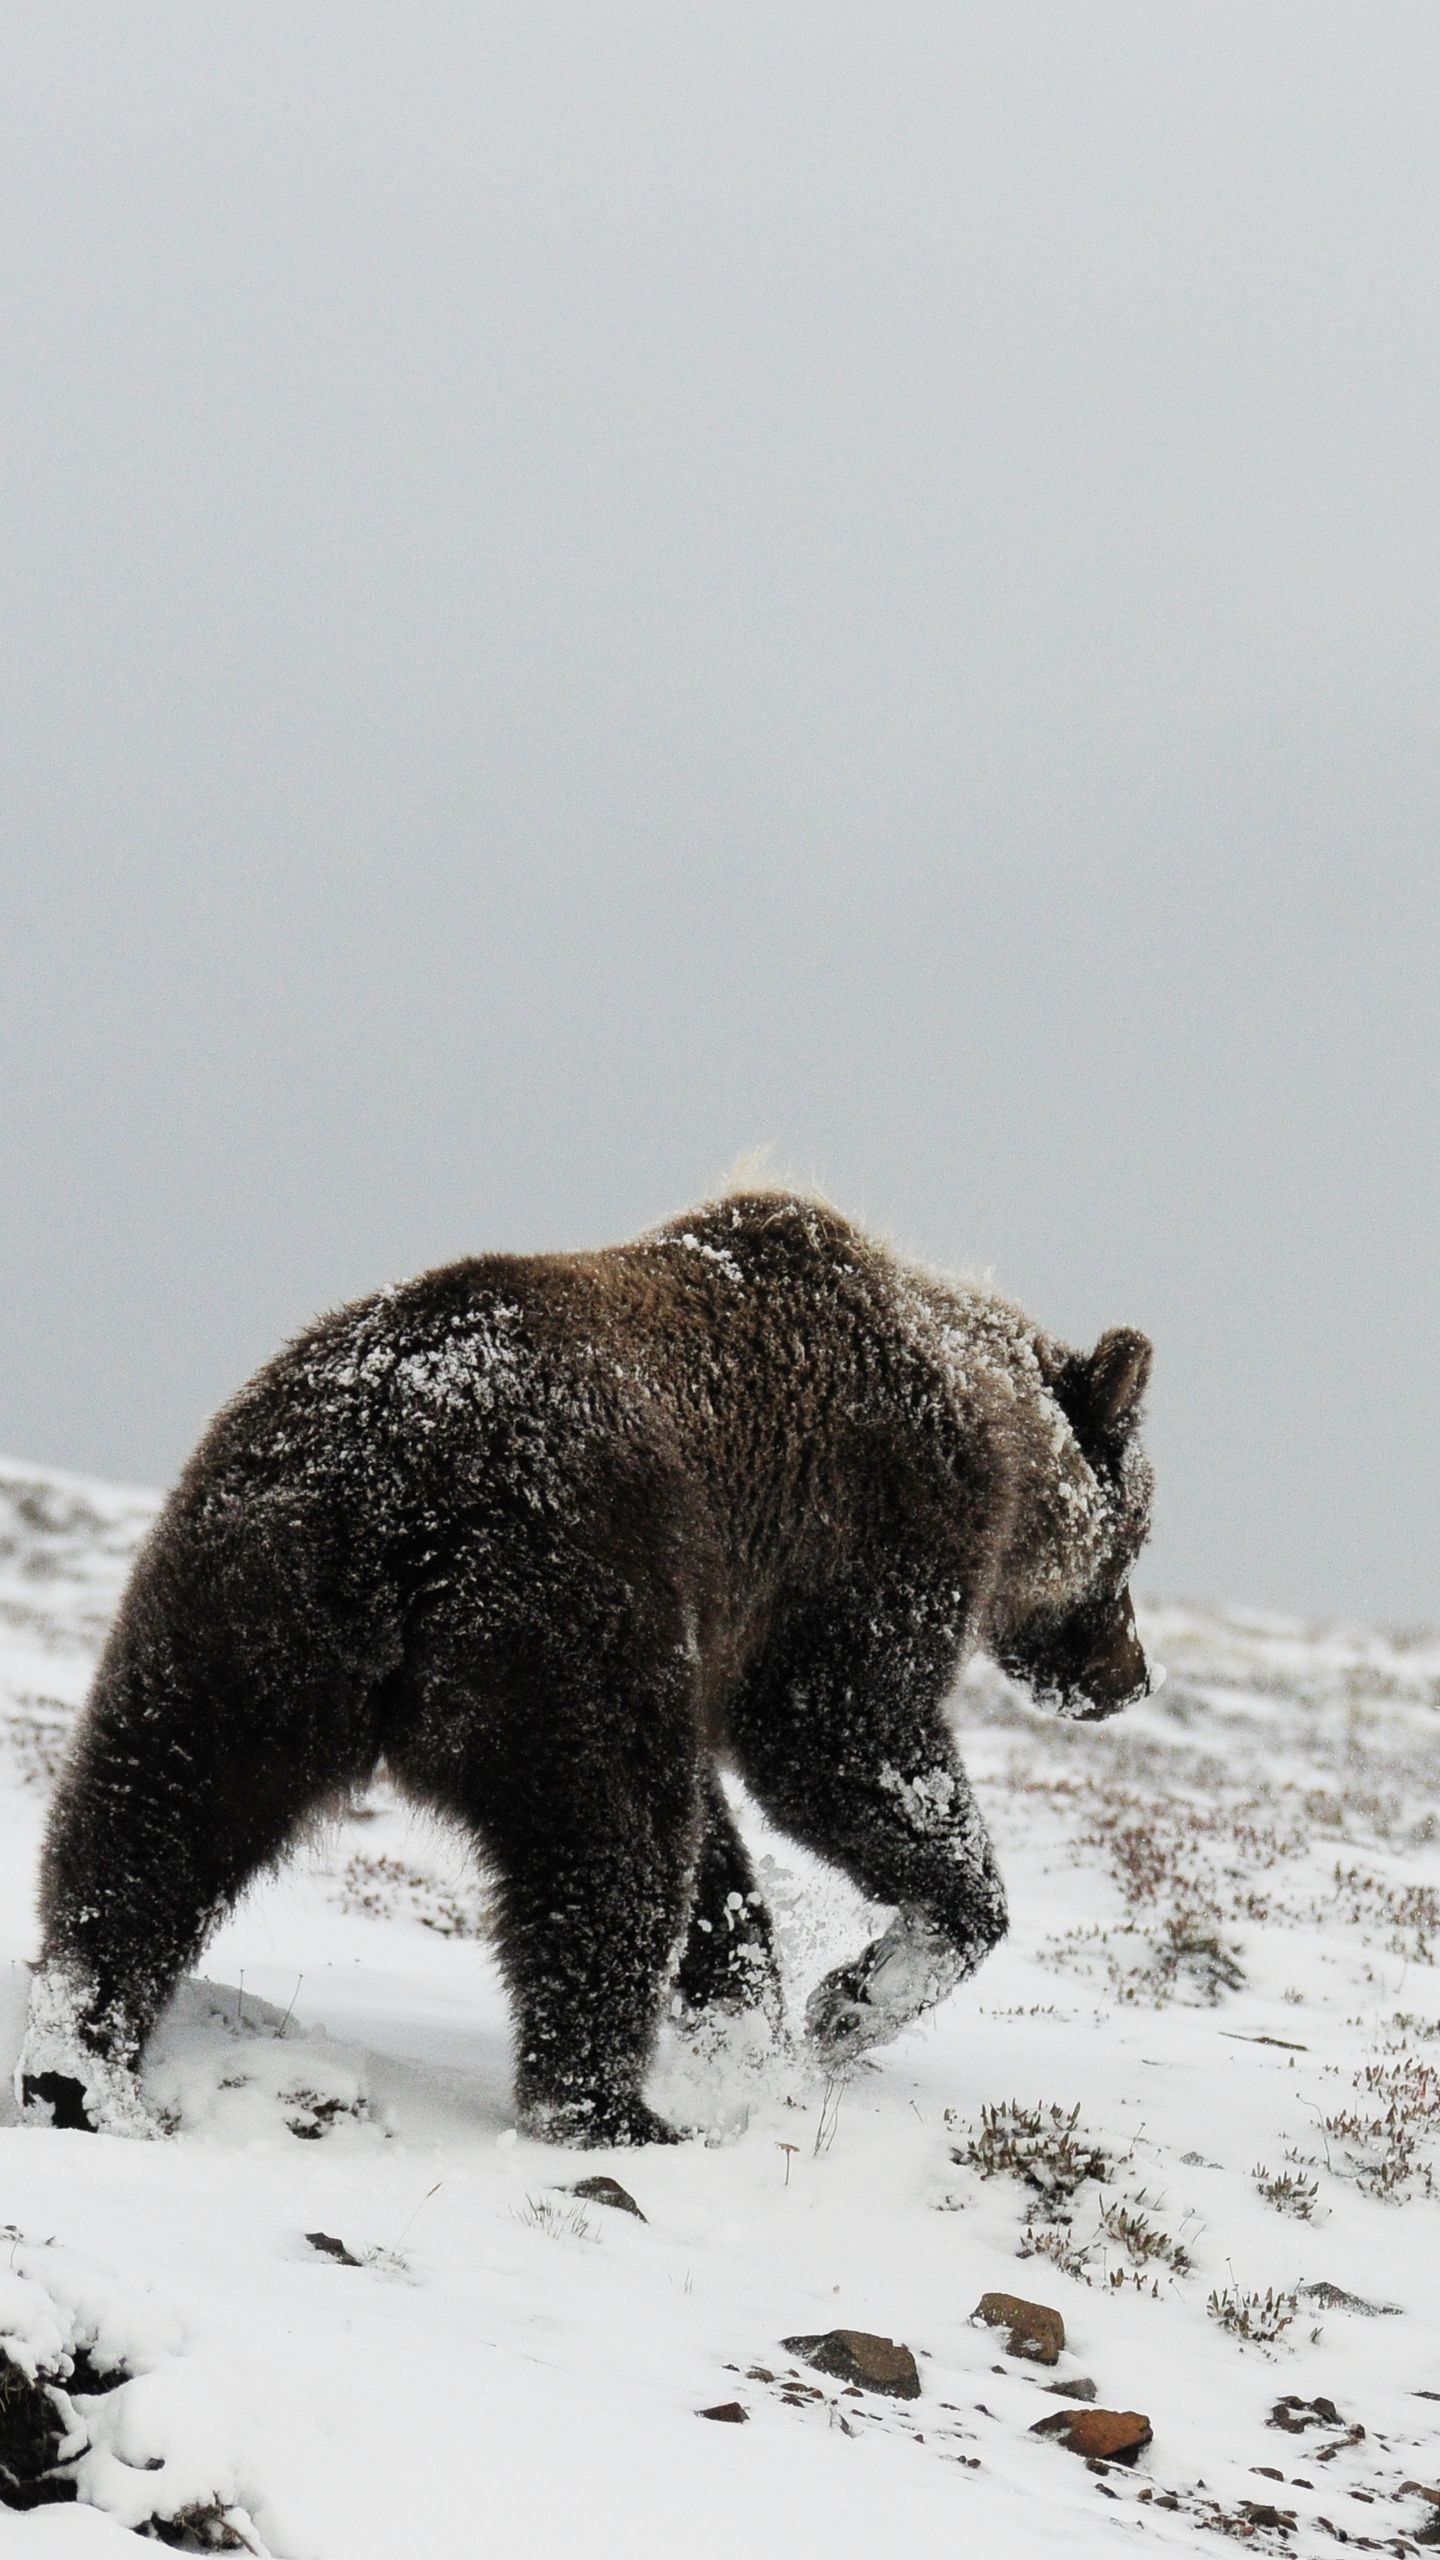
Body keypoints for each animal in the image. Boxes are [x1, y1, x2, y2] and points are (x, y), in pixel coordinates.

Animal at [14, 1192, 1153, 2140]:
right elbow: (845, 1743)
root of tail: (397, 1474)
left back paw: (79, 2061)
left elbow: (725, 1862)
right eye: (1138, 1538)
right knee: (608, 1852)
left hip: (243, 1594)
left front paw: (753, 2021)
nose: (1130, 1677)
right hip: (570, 1610)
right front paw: (856, 1996)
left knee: (153, 1810)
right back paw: (608, 2108)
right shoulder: (868, 1533)